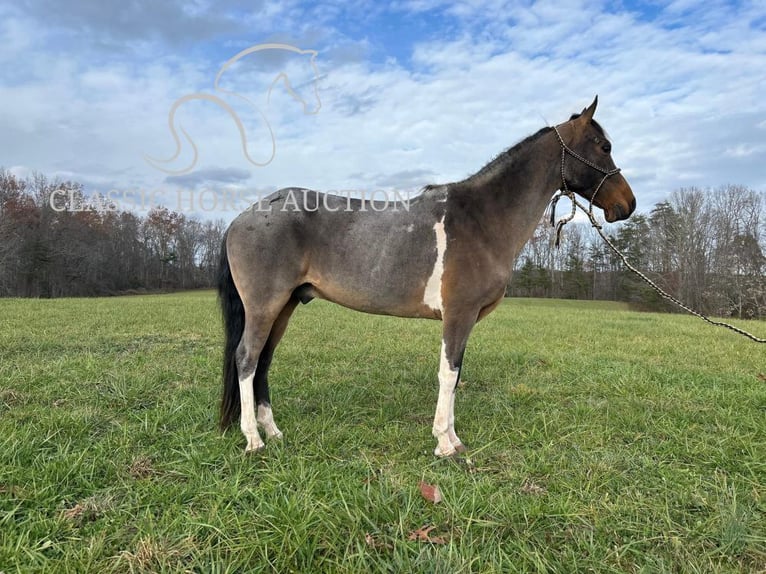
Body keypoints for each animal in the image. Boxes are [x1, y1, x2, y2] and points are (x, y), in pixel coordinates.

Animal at [214, 98, 636, 460]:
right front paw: (444, 444)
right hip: (264, 306)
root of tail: (241, 218)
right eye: (604, 146)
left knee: (264, 361)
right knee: (247, 359)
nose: (627, 205)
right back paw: (253, 439)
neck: (482, 218)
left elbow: (456, 373)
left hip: (284, 306)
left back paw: (273, 432)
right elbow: (448, 374)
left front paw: (453, 438)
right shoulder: (458, 315)